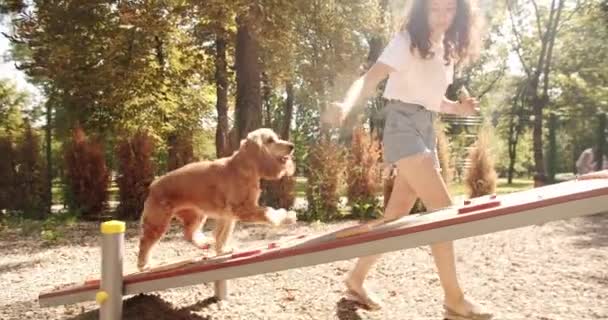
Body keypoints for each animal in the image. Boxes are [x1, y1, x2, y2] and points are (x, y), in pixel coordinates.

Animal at [138, 127, 300, 270]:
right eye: (270, 140)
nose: (292, 146)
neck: (241, 167)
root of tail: (153, 185)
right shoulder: (241, 209)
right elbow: (269, 212)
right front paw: (287, 218)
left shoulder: (228, 215)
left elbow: (222, 235)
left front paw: (222, 250)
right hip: (158, 222)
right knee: (145, 242)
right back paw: (144, 264)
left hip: (196, 216)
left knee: (189, 234)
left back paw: (204, 244)